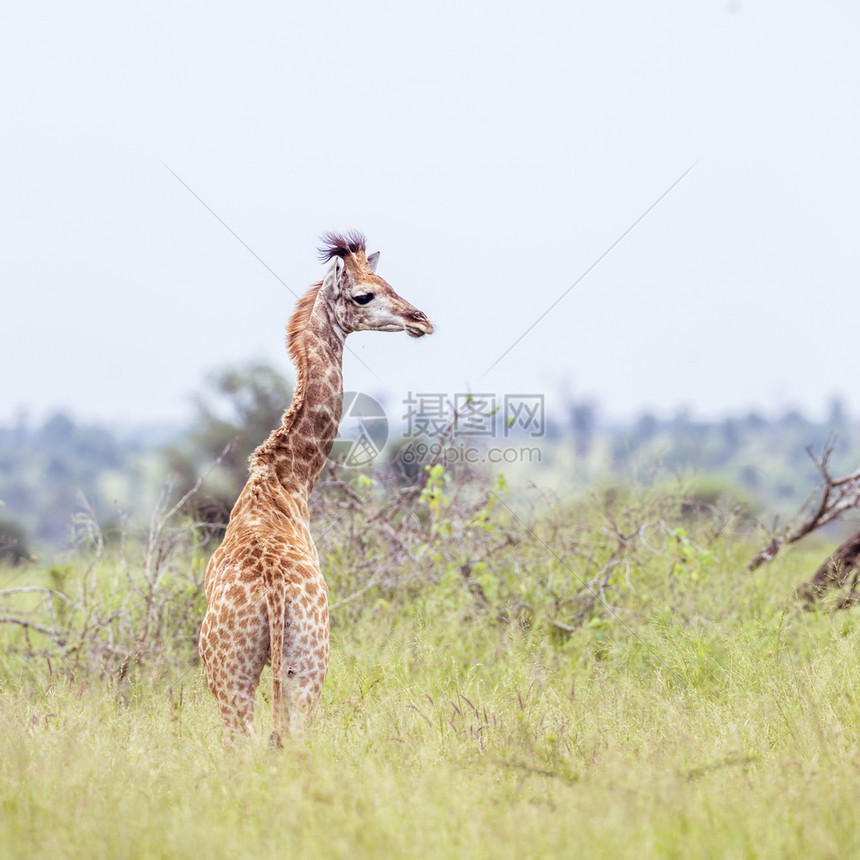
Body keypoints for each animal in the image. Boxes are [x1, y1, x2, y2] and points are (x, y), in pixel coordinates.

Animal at [198, 232, 434, 744]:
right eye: (365, 294)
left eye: (388, 281)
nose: (421, 320)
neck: (287, 478)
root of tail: (272, 594)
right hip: (294, 665)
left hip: (260, 670)